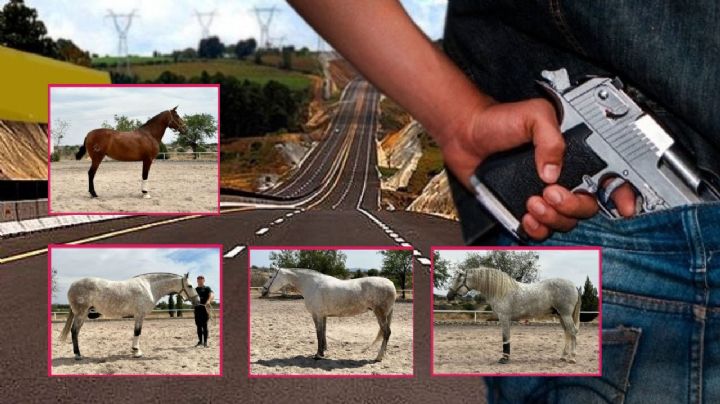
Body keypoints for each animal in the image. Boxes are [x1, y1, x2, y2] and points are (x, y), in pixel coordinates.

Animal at [59, 272, 199, 360]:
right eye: (190, 286)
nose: (197, 301)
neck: (149, 287)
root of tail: (72, 285)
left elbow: (136, 332)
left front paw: (135, 350)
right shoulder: (139, 315)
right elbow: (137, 332)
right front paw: (137, 352)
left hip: (82, 316)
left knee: (75, 332)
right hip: (81, 314)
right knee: (74, 331)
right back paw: (78, 355)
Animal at [261, 268, 396, 362]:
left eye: (271, 276)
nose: (263, 291)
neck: (312, 285)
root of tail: (391, 283)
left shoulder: (317, 315)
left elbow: (318, 333)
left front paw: (318, 355)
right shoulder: (323, 316)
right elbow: (323, 332)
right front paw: (324, 350)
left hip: (380, 314)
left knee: (386, 333)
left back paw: (378, 357)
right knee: (386, 334)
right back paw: (383, 354)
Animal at [446, 266, 581, 364]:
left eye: (459, 279)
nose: (449, 296)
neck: (500, 291)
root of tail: (574, 285)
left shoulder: (504, 318)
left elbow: (505, 338)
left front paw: (504, 358)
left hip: (565, 315)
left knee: (572, 331)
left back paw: (572, 358)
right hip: (561, 315)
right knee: (567, 332)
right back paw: (563, 357)